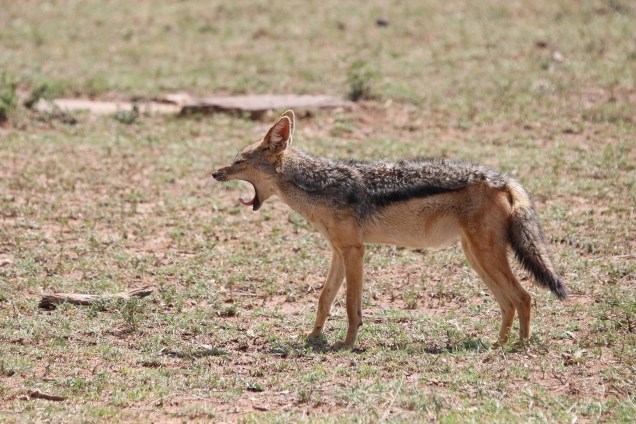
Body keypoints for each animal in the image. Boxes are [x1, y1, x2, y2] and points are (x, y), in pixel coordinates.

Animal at [212, 110, 566, 349]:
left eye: (239, 161)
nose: (215, 173)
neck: (318, 186)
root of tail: (502, 178)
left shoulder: (355, 251)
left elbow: (351, 306)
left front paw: (346, 345)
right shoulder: (339, 251)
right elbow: (324, 299)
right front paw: (312, 337)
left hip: (485, 256)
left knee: (524, 297)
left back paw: (518, 346)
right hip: (476, 258)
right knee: (509, 302)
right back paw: (498, 343)